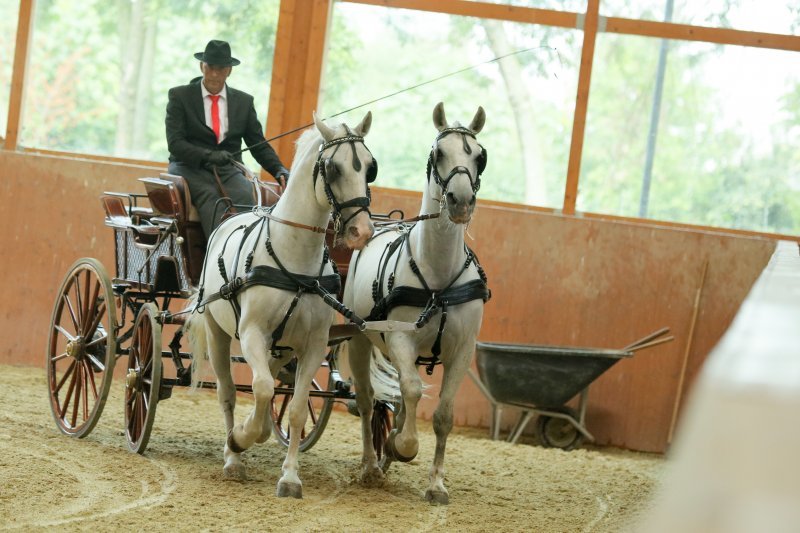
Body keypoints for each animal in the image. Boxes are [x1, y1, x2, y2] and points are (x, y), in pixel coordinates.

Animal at [186, 110, 376, 496]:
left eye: (369, 167)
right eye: (333, 168)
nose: (362, 231)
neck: (294, 259)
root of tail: (234, 214)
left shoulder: (314, 344)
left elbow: (297, 408)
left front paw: (289, 477)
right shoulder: (252, 333)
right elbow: (259, 389)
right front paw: (241, 438)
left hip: (283, 346)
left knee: (274, 381)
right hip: (217, 332)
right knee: (229, 392)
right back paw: (233, 456)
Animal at [342, 103, 488, 502]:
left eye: (479, 156)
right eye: (438, 153)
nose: (460, 200)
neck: (438, 276)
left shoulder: (462, 349)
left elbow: (443, 414)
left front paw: (436, 484)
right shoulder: (400, 338)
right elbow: (409, 390)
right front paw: (403, 446)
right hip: (360, 341)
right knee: (367, 401)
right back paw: (371, 465)